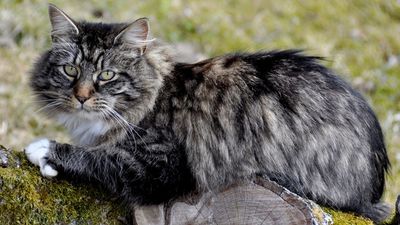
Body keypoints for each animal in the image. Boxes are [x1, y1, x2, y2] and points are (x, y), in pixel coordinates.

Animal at [26, 3, 392, 223]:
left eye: (106, 75)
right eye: (71, 70)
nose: (82, 96)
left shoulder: (164, 164)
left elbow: (100, 157)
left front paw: (46, 150)